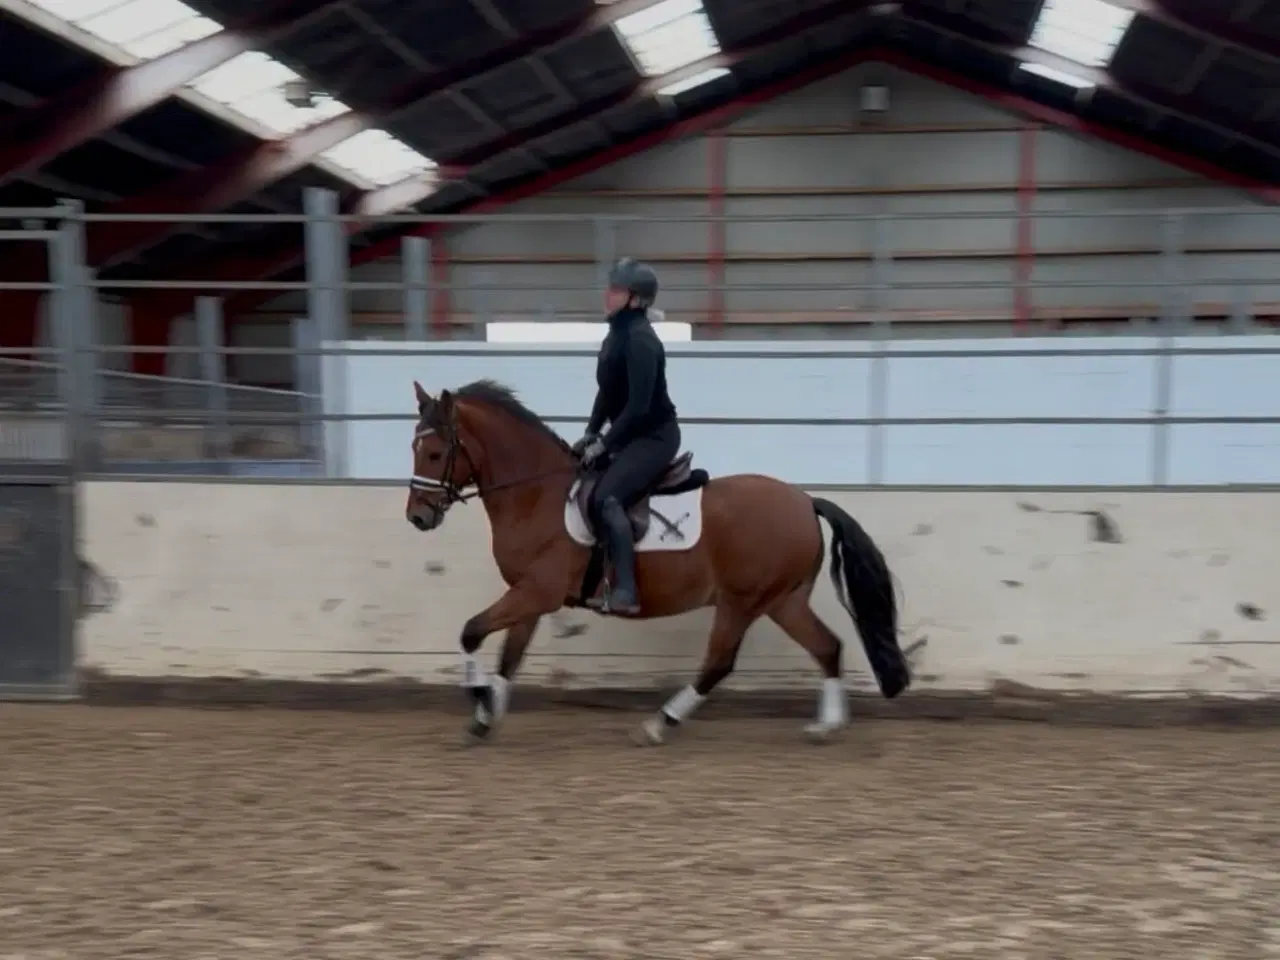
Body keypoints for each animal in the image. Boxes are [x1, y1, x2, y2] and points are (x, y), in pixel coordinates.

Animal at [404, 378, 910, 746]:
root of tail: (805, 501)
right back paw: (826, 725)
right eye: (414, 448)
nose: (418, 517)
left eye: (435, 452)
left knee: (719, 662)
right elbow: (510, 656)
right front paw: (487, 715)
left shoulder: (536, 591)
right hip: (783, 600)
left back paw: (659, 723)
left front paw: (478, 699)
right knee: (827, 647)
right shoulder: (530, 595)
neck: (536, 494)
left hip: (742, 601)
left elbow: (471, 632)